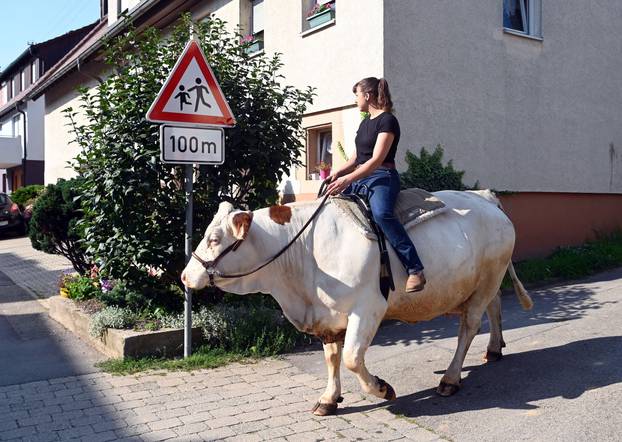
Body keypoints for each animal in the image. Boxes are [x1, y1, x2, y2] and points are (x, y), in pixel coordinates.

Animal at [182, 189, 536, 414]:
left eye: (214, 239)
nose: (185, 277)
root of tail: (484, 197)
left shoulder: (367, 308)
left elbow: (352, 358)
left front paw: (382, 389)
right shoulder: (326, 315)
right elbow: (332, 358)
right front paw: (329, 399)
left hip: (487, 279)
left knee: (468, 327)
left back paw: (450, 379)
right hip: (484, 281)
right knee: (494, 307)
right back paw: (494, 349)